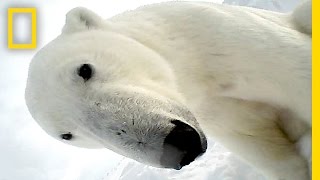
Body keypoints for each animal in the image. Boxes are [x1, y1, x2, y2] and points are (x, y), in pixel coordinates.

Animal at [26, 0, 312, 179]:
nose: (177, 145)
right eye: (68, 135)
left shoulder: (220, 37)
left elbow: (295, 72)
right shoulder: (218, 114)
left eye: (84, 69)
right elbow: (264, 147)